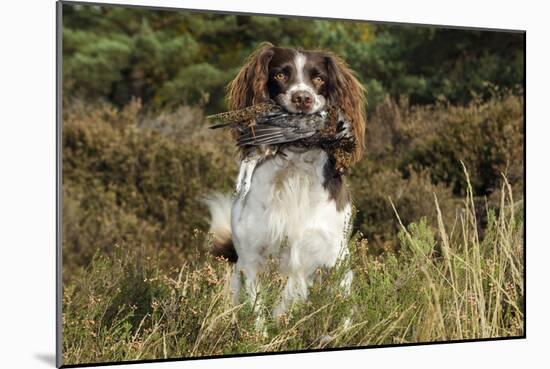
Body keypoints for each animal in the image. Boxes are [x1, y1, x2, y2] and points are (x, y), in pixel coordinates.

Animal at [204, 42, 366, 320]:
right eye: (279, 74)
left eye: (319, 78)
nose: (303, 98)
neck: (295, 171)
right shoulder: (252, 259)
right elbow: (257, 316)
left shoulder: (334, 258)